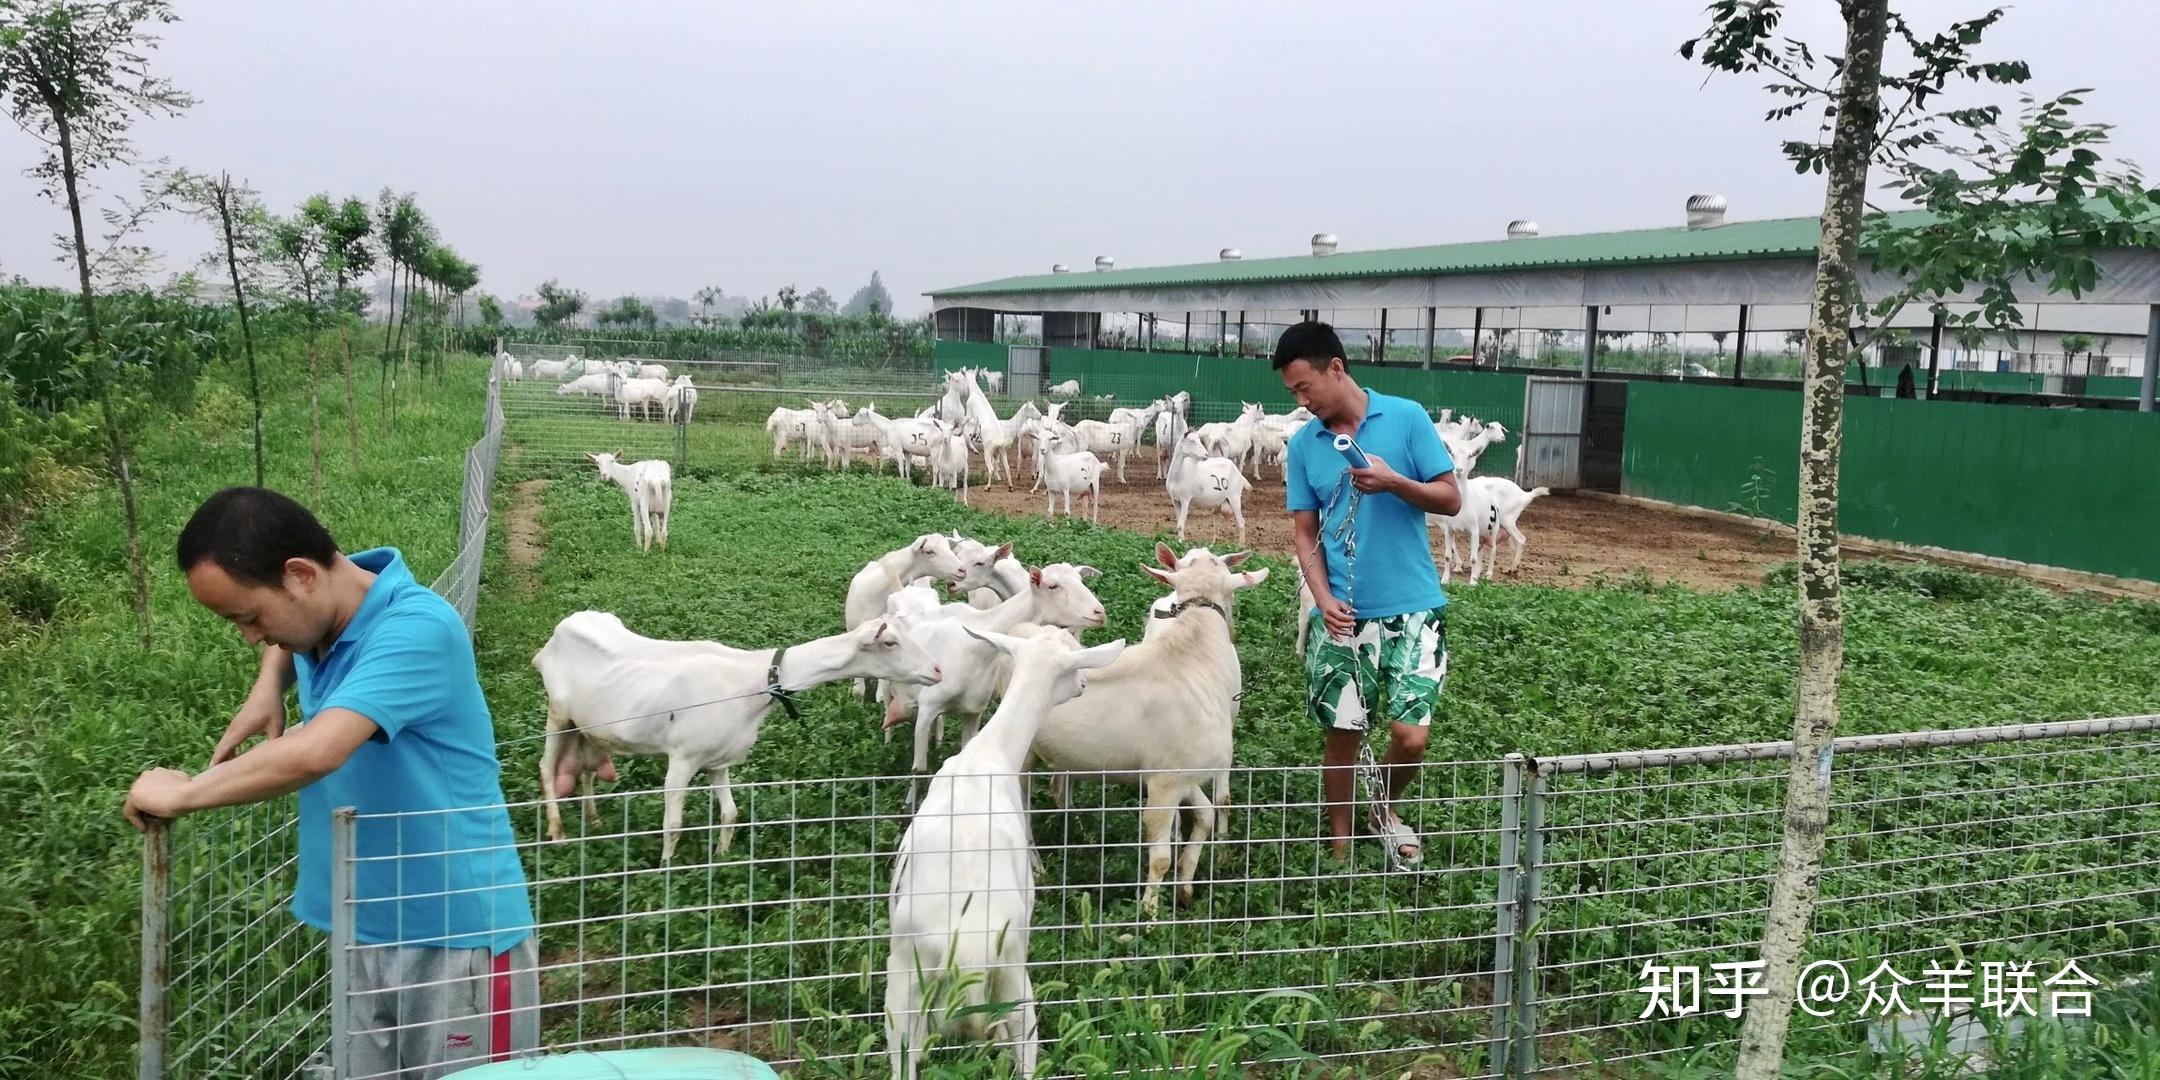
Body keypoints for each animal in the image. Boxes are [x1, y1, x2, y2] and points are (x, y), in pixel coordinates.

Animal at [535, 617, 941, 859]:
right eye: (890, 643)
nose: (937, 670)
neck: (757, 680)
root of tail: (555, 636)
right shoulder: (682, 758)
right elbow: (673, 824)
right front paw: (665, 871)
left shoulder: (719, 761)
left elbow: (730, 814)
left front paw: (721, 860)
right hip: (557, 713)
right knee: (545, 767)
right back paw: (557, 831)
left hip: (587, 726)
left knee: (586, 768)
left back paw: (594, 822)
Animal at [881, 626, 1123, 1080]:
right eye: (1075, 658)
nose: (1084, 685)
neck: (990, 754)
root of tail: (968, 953)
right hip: (1016, 983)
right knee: (1026, 1056)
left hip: (902, 987)